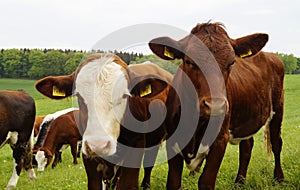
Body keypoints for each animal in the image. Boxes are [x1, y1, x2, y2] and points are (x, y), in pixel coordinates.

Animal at [34, 53, 172, 190]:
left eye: (125, 95)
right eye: (78, 96)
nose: (98, 145)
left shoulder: (136, 147)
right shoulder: (88, 156)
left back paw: (145, 185)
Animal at [149, 21, 284, 189]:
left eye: (232, 62)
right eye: (189, 61)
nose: (215, 105)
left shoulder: (220, 140)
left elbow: (206, 181)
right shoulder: (173, 140)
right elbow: (173, 182)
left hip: (278, 109)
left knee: (276, 142)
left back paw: (279, 178)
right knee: (247, 146)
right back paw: (239, 182)